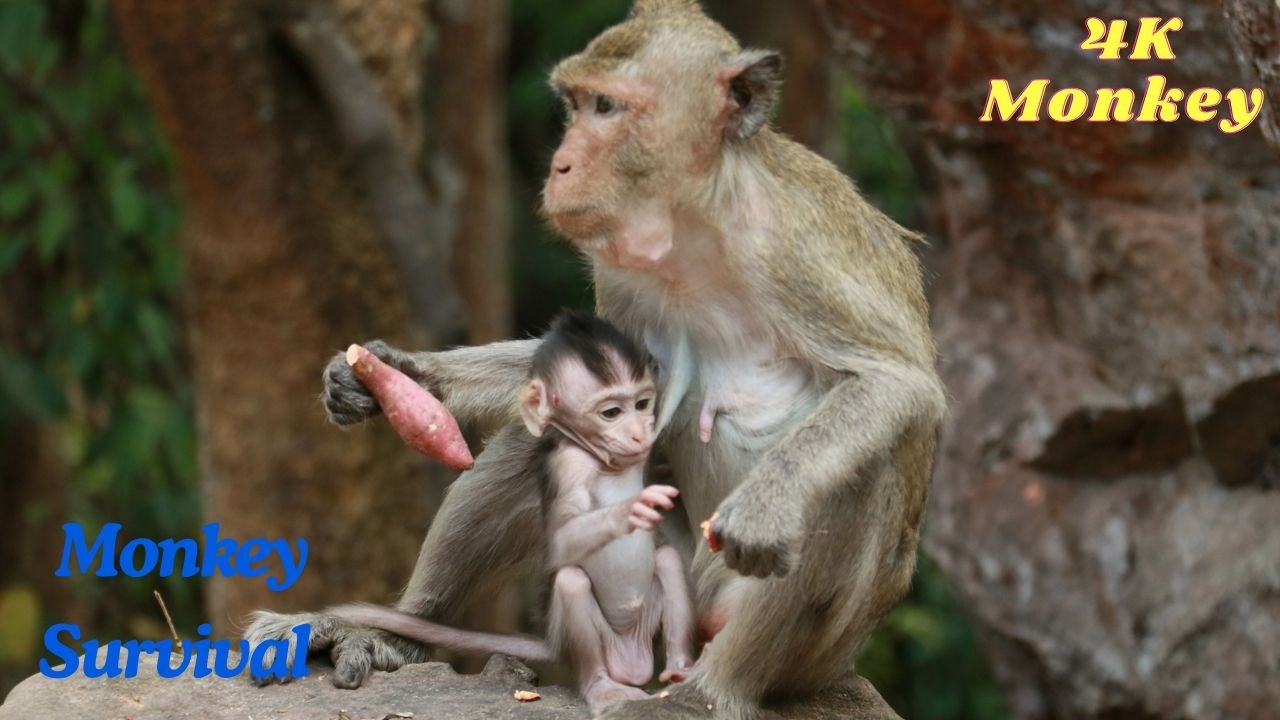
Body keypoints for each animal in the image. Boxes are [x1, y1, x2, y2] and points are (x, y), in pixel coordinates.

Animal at [321, 313, 694, 716]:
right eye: (613, 412)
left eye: (639, 407)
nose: (637, 432)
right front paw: (399, 373)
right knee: (536, 444)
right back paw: (406, 632)